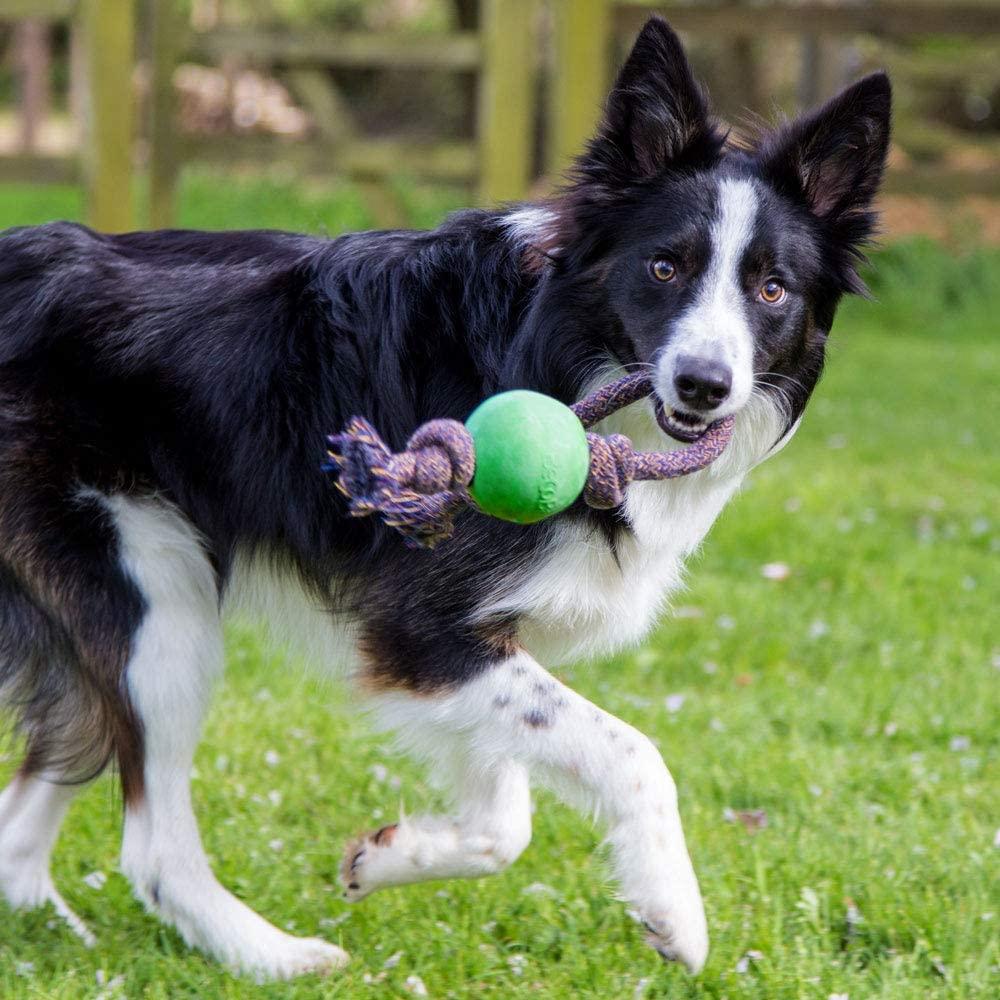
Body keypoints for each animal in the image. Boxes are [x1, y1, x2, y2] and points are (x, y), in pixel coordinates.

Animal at [0, 15, 892, 980]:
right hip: (157, 600)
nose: (703, 386)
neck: (549, 348)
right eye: (665, 267)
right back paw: (275, 957)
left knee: (43, 789)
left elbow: (506, 817)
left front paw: (392, 856)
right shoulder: (418, 626)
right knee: (153, 846)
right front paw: (674, 914)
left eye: (771, 289)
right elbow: (631, 755)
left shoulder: (473, 643)